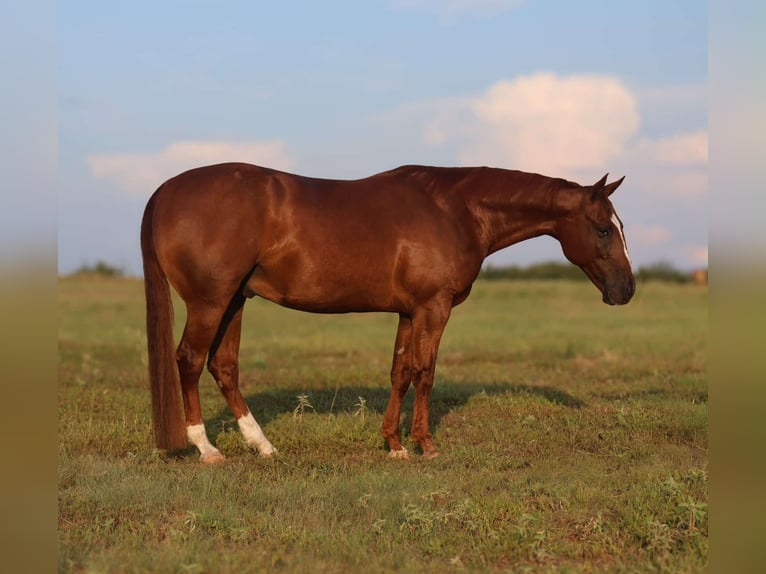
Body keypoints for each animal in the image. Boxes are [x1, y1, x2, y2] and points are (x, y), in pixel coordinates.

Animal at [140, 163, 634, 463]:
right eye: (603, 229)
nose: (627, 290)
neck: (455, 211)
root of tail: (163, 192)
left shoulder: (409, 312)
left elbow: (400, 372)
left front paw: (394, 445)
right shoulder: (433, 308)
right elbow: (426, 372)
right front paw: (426, 445)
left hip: (235, 301)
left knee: (223, 366)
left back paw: (263, 445)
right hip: (210, 302)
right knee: (189, 361)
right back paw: (206, 448)